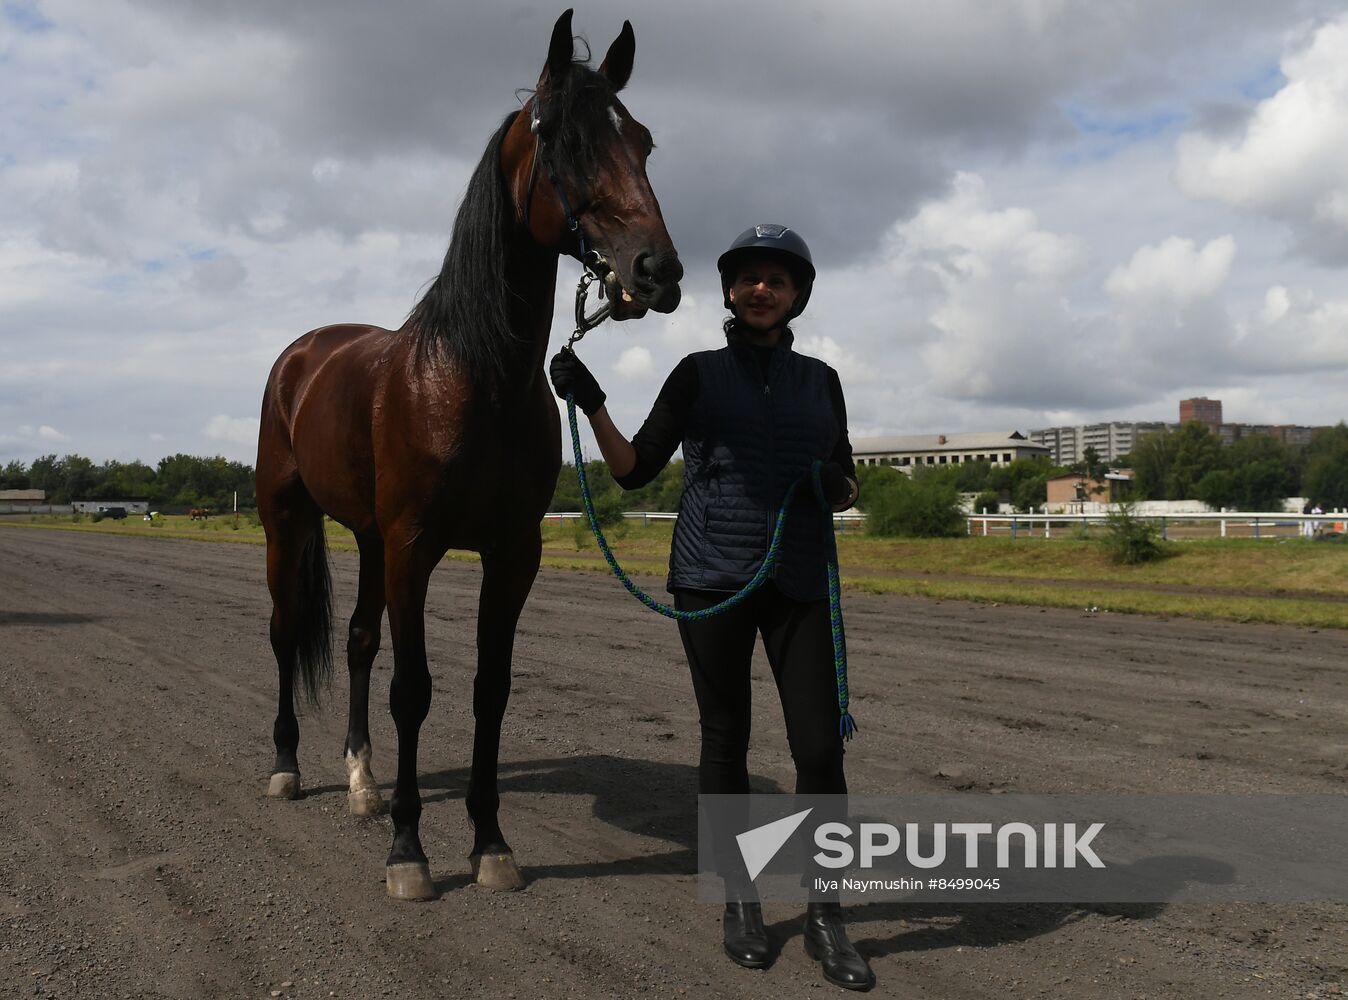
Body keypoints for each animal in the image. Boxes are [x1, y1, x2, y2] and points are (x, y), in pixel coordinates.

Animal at [253, 7, 679, 905]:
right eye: (564, 139)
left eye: (643, 141)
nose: (657, 271)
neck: (476, 377)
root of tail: (304, 353)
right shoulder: (416, 545)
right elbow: (414, 690)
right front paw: (409, 853)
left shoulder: (510, 553)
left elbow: (489, 690)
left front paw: (489, 844)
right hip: (288, 522)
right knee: (284, 631)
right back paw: (287, 767)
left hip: (368, 539)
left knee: (356, 641)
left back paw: (362, 783)